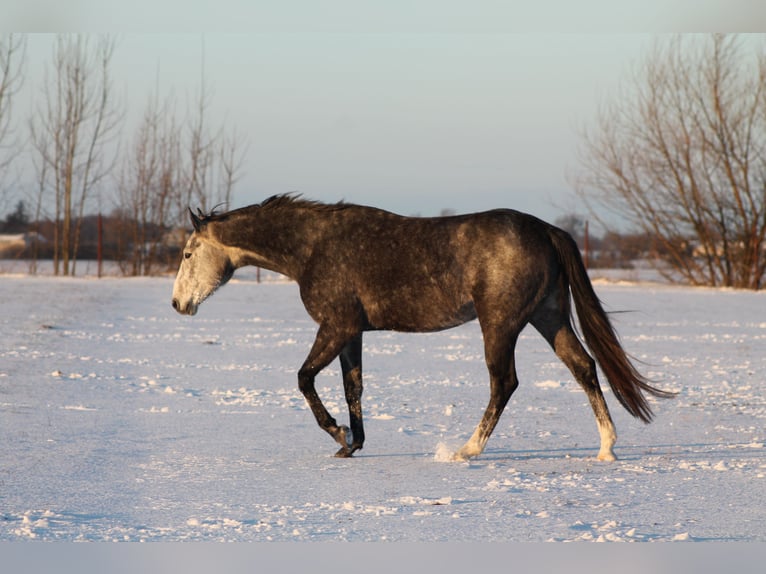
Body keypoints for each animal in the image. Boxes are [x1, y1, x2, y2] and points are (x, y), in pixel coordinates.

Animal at [172, 194, 674, 461]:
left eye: (189, 252)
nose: (178, 304)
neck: (313, 248)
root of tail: (547, 231)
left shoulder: (334, 327)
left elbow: (304, 379)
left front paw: (336, 433)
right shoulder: (351, 333)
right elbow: (353, 387)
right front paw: (353, 444)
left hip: (501, 325)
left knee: (504, 382)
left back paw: (467, 450)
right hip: (547, 317)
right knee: (584, 367)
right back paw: (607, 447)